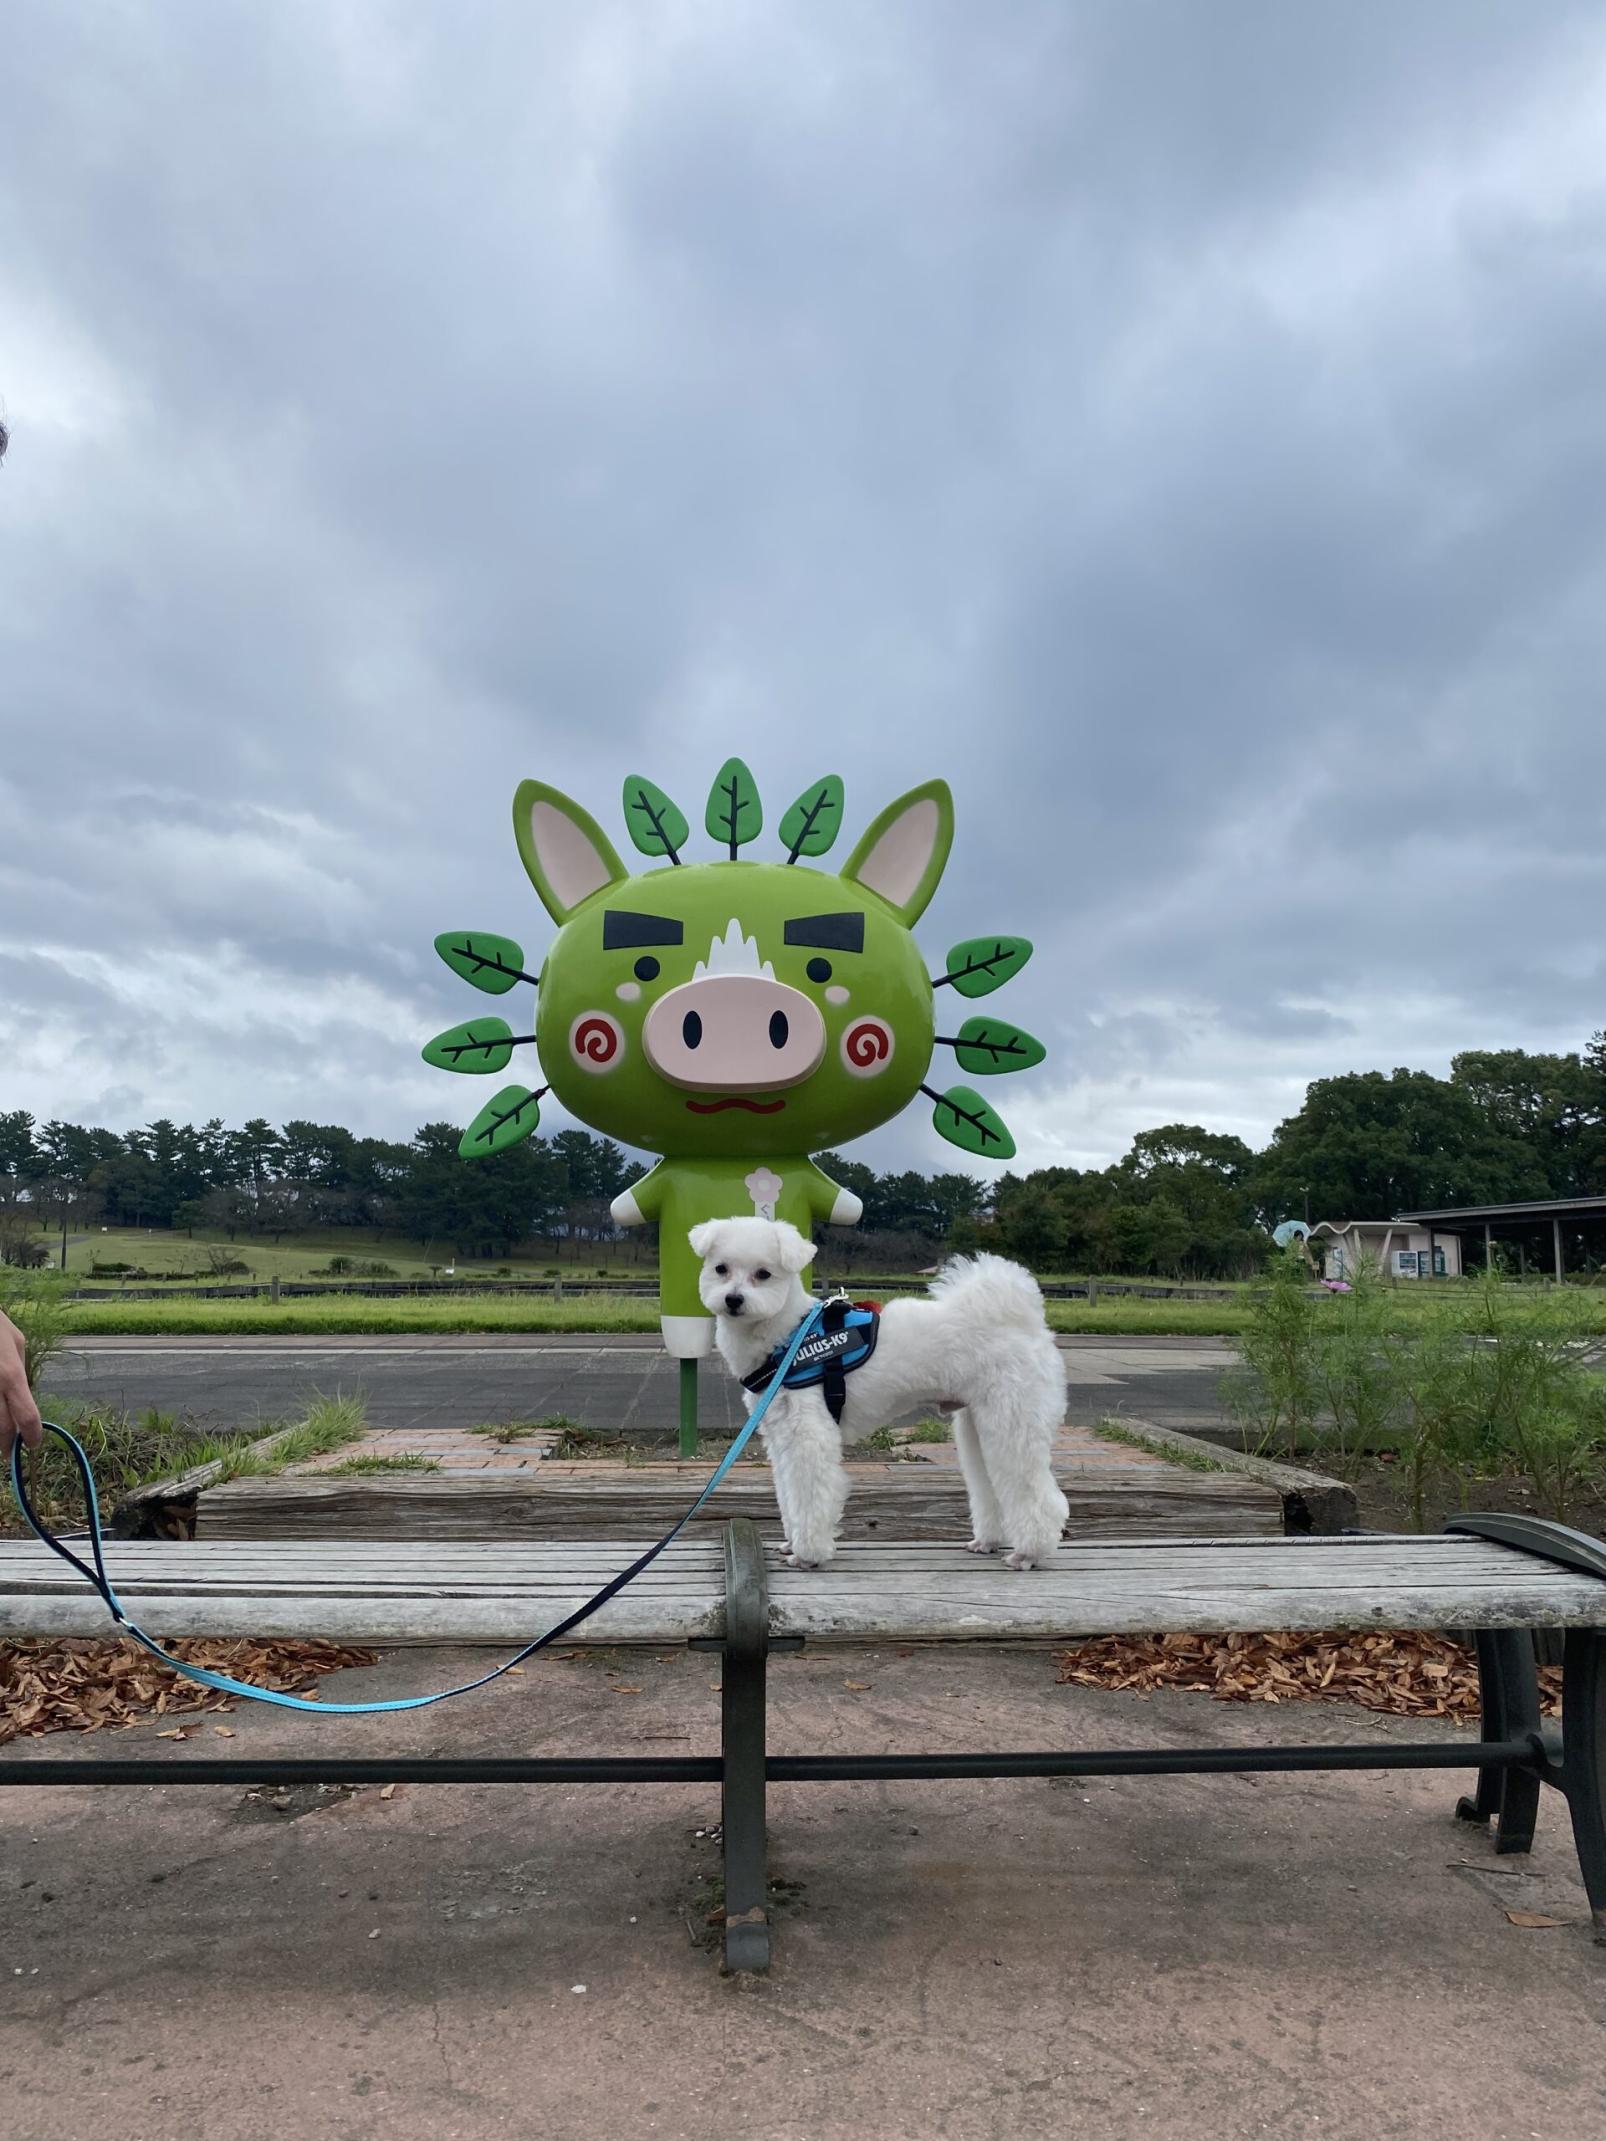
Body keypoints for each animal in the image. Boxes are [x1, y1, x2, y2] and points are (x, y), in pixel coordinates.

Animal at [689, 1224, 1074, 1575]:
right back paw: (988, 1542)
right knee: (991, 1483)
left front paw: (809, 1554)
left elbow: (810, 1495)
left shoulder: (808, 1437)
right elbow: (789, 1495)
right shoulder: (781, 1438)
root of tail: (1026, 1323)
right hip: (978, 1424)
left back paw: (1029, 1553)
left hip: (1013, 1418)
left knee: (1036, 1492)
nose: (733, 1300)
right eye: (720, 1268)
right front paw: (791, 1542)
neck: (789, 1336)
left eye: (764, 1274)